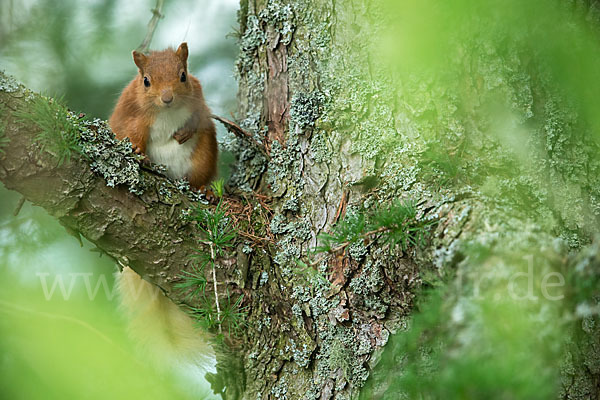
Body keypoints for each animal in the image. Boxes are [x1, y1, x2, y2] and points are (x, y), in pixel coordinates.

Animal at [110, 42, 218, 189]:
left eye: (183, 76)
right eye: (146, 81)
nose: (167, 99)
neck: (167, 111)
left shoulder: (198, 98)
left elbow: (199, 116)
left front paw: (186, 132)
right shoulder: (131, 110)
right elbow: (132, 129)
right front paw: (137, 149)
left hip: (204, 157)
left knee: (197, 180)